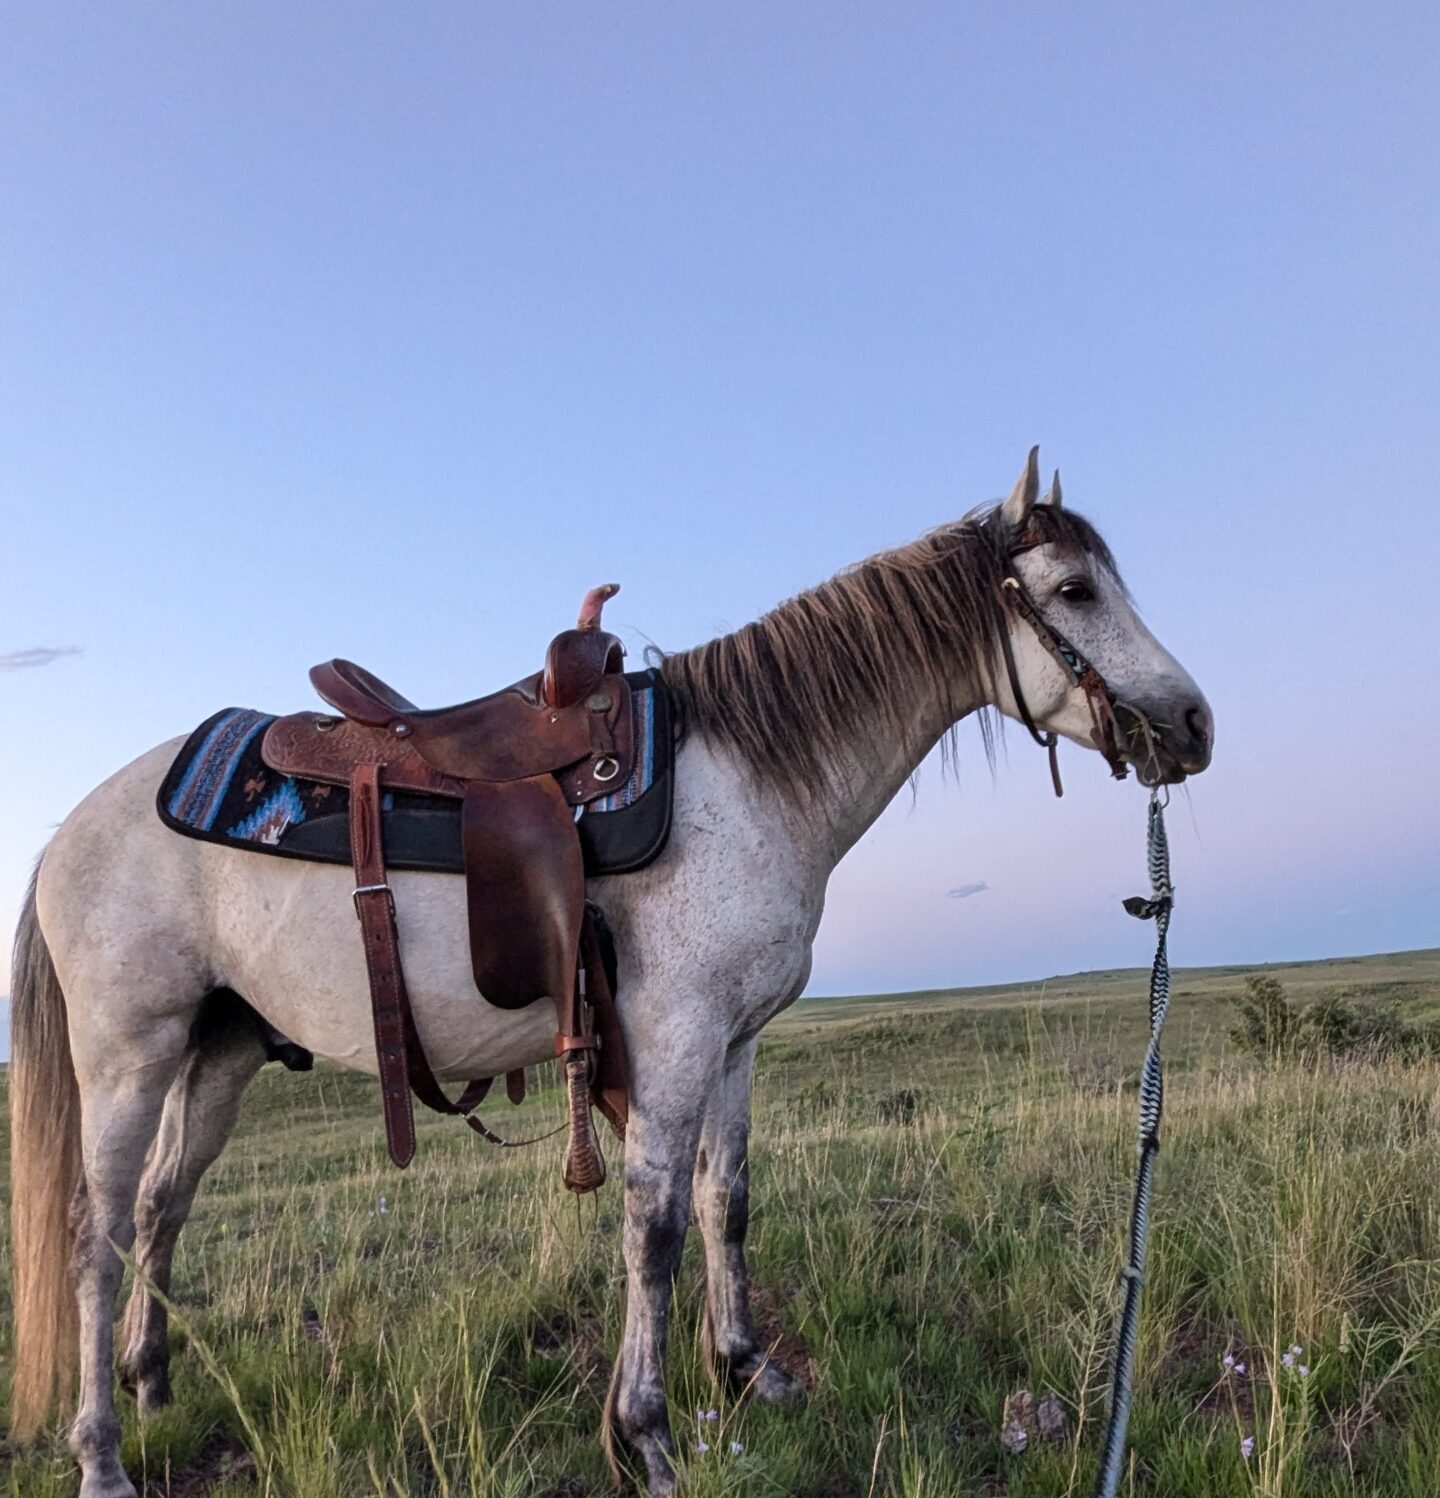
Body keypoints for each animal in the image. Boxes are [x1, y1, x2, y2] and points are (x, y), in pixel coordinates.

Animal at [11, 449, 1210, 1492]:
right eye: (1072, 589)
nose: (1193, 724)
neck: (746, 780)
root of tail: (70, 830)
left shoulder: (737, 1040)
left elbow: (727, 1198)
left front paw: (748, 1370)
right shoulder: (672, 1037)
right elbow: (656, 1223)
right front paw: (648, 1435)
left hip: (219, 1051)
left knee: (161, 1206)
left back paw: (154, 1389)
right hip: (127, 1059)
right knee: (94, 1234)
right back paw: (102, 1456)